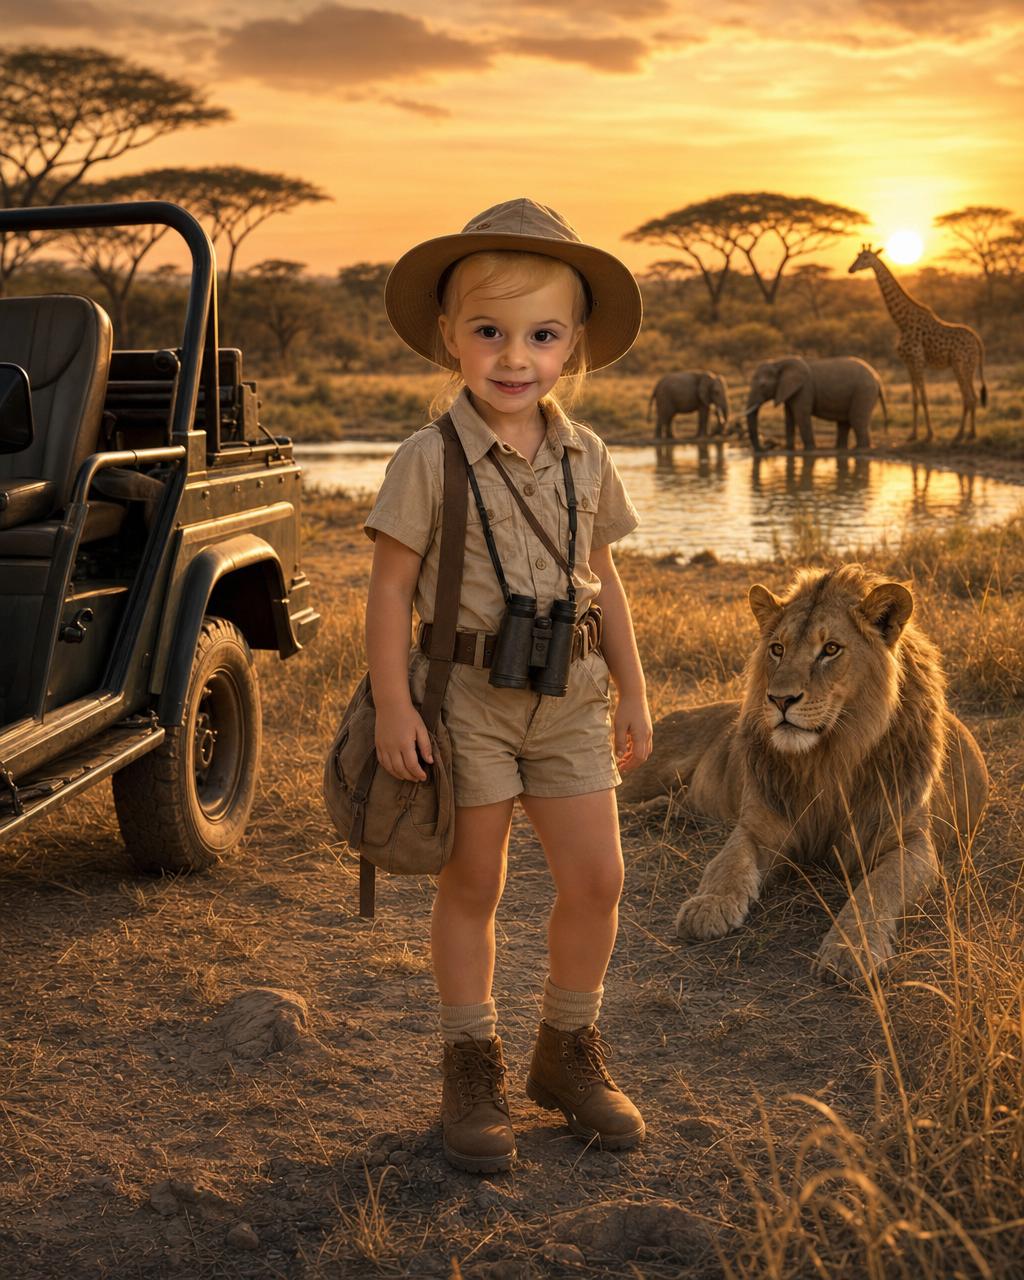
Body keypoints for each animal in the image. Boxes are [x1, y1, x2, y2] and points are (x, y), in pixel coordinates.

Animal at [849, 245, 987, 444]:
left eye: (866, 258)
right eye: (857, 256)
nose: (851, 269)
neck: (902, 321)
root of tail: (977, 340)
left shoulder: (918, 361)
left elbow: (924, 398)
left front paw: (929, 435)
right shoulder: (908, 363)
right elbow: (914, 400)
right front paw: (913, 435)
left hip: (961, 366)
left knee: (968, 398)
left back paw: (960, 435)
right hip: (968, 367)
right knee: (973, 397)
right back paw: (971, 433)